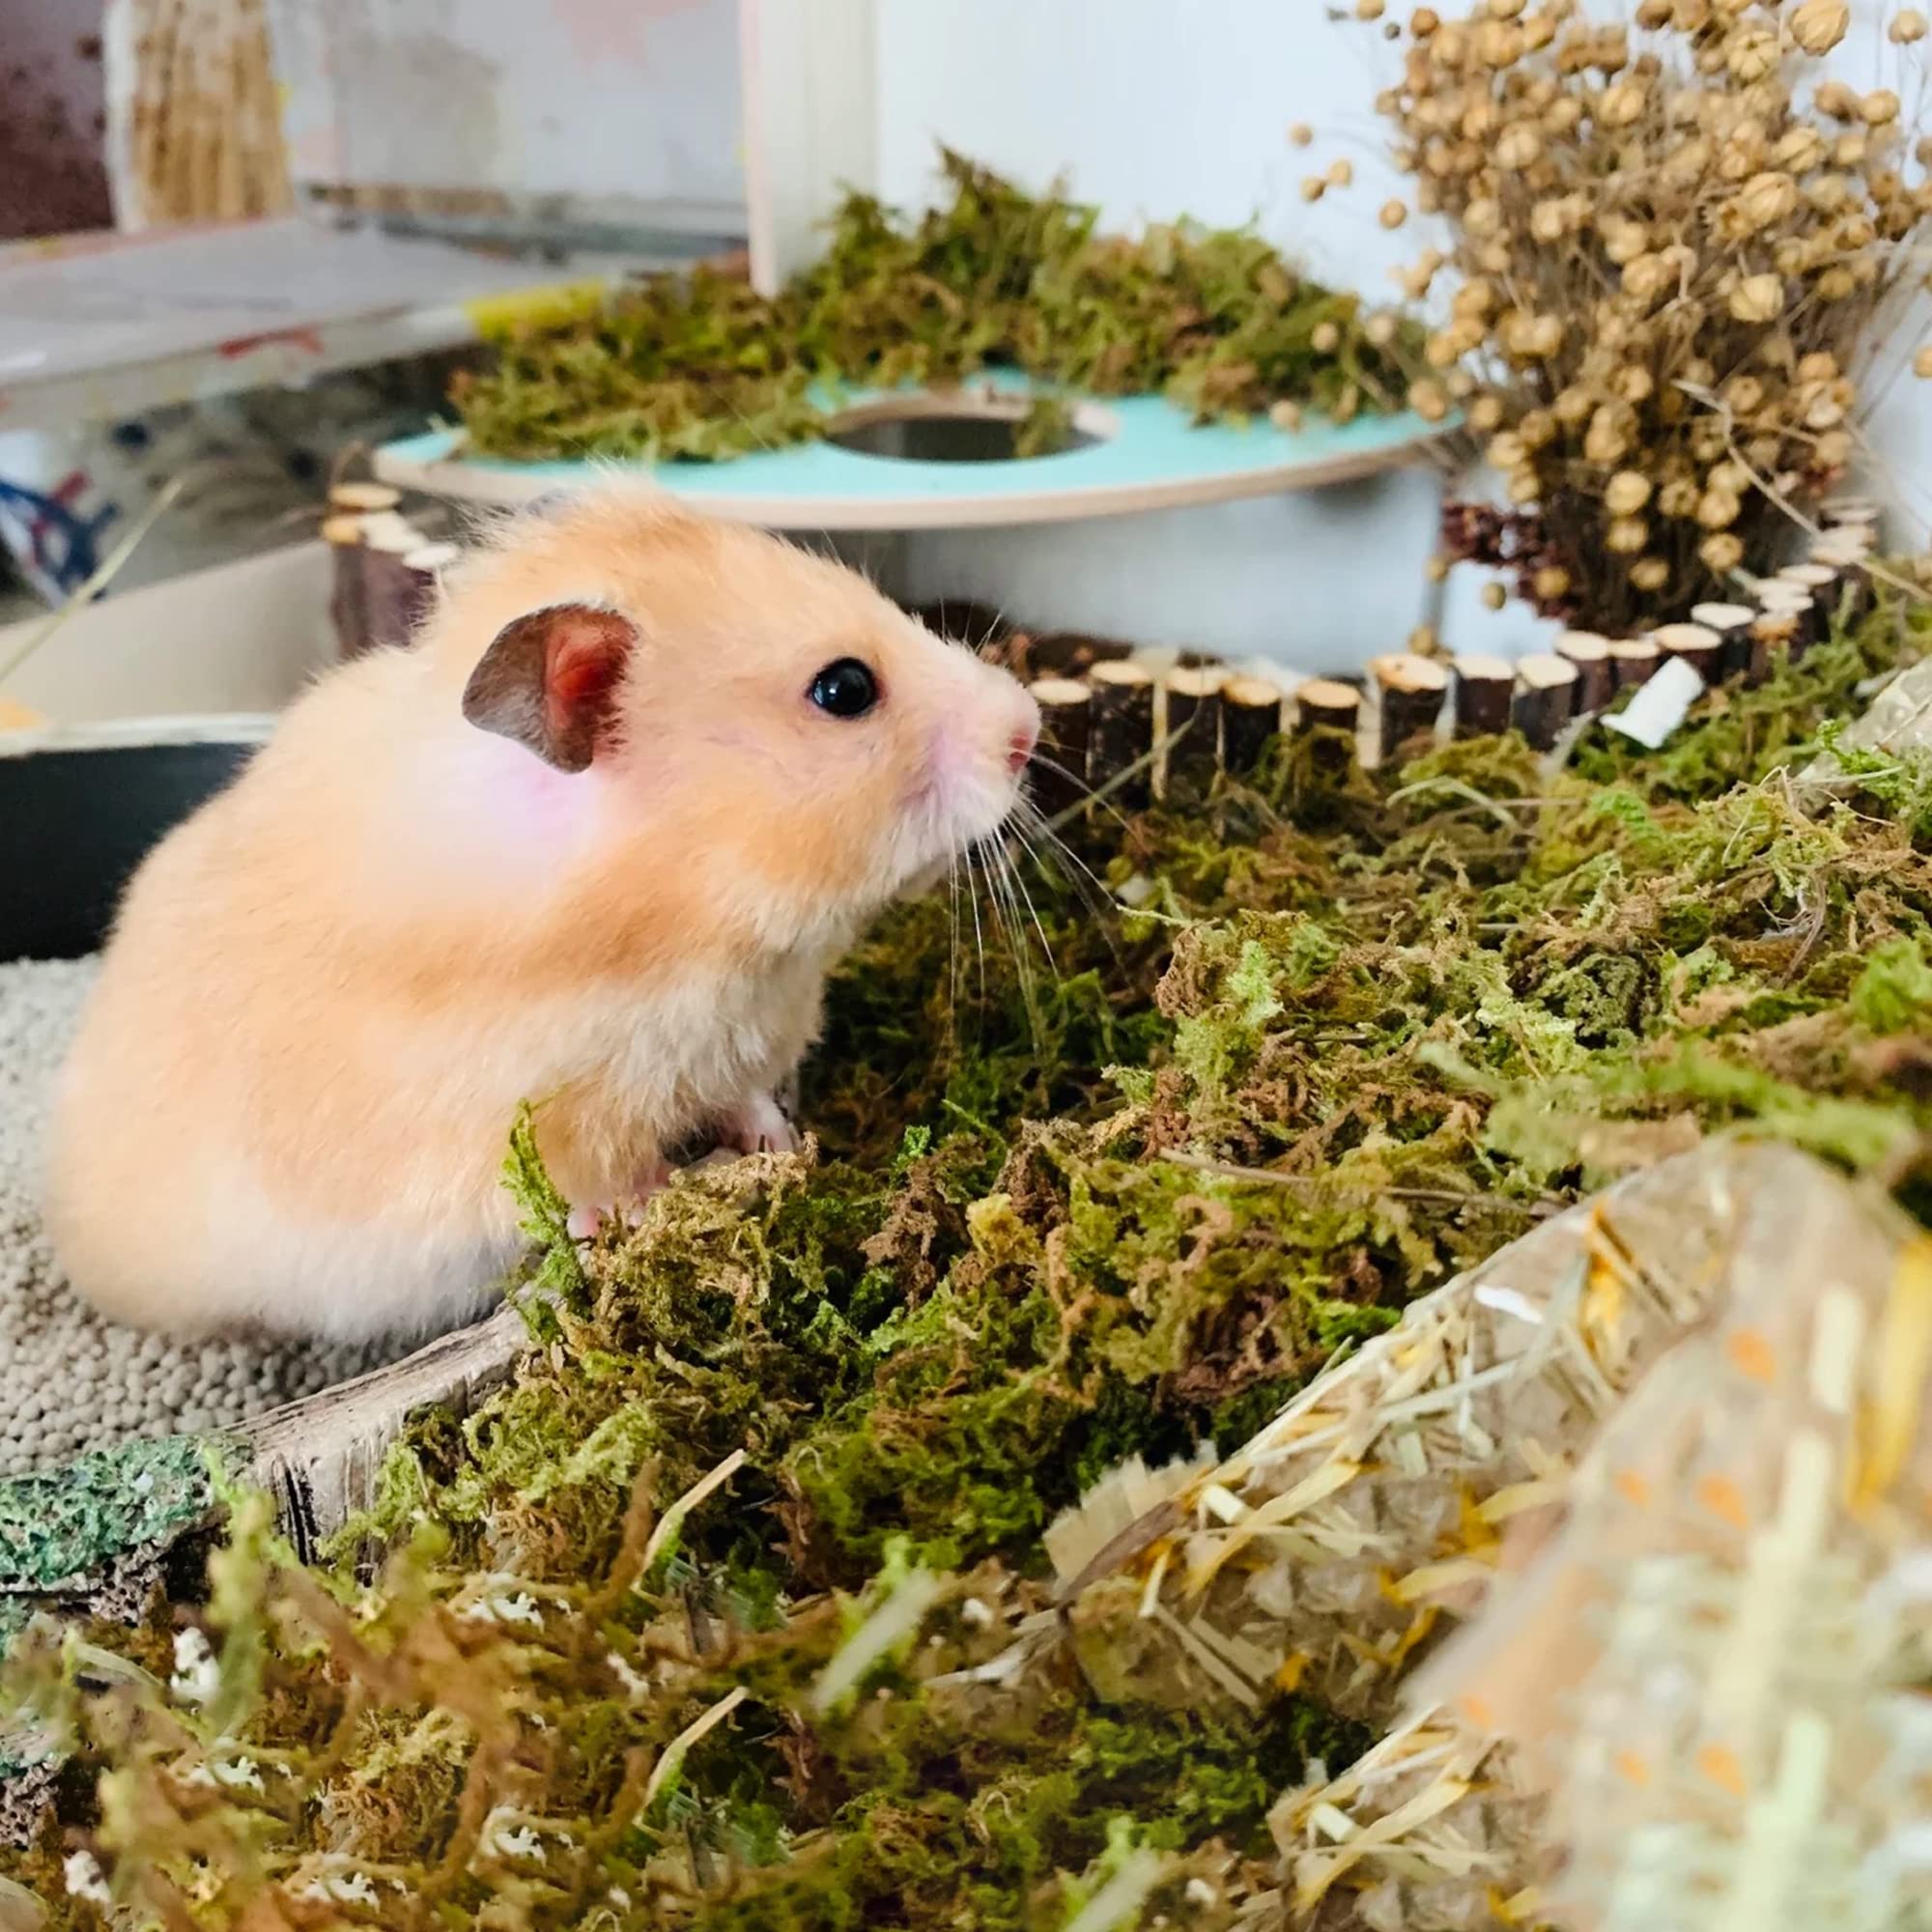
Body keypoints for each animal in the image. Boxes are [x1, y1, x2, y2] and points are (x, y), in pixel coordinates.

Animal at [43, 483, 1041, 1343]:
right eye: (844, 689)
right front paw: (648, 1204)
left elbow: (749, 1095)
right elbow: (584, 1185)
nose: (1028, 729)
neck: (703, 937)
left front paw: (782, 1142)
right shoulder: (526, 1126)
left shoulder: (742, 1038)